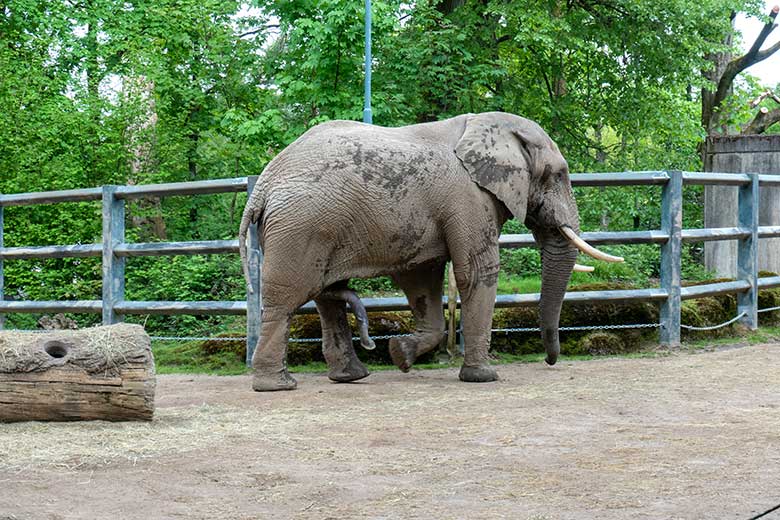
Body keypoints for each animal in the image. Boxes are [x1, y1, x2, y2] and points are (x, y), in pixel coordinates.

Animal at [239, 111, 620, 392]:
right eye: (558, 175)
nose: (550, 361)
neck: (492, 127)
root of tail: (263, 185)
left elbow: (422, 279)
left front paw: (399, 355)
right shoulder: (469, 197)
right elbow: (477, 272)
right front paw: (483, 378)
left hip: (316, 228)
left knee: (328, 298)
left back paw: (351, 376)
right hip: (301, 225)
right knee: (286, 300)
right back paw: (278, 385)